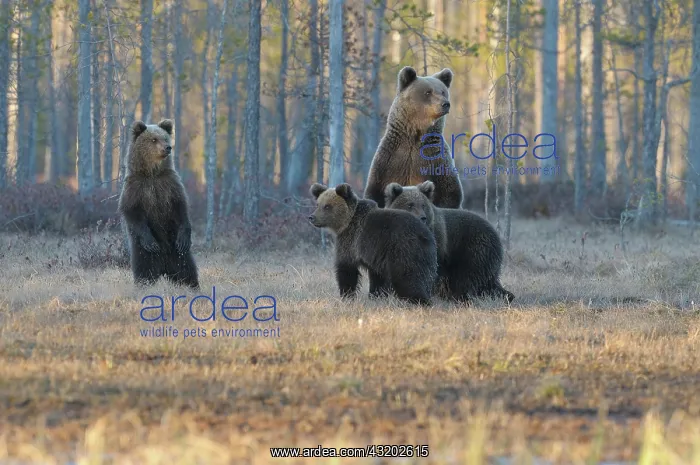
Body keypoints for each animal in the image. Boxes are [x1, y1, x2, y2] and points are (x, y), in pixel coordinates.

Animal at [118, 119, 199, 290]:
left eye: (165, 138)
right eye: (154, 139)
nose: (168, 147)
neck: (152, 174)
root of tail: (164, 268)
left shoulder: (170, 184)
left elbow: (181, 208)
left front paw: (184, 237)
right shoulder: (135, 188)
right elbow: (133, 213)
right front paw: (151, 243)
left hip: (176, 251)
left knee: (186, 268)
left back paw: (192, 285)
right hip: (143, 253)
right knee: (145, 270)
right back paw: (144, 285)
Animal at [308, 182, 438, 305]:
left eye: (327, 206)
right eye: (318, 204)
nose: (312, 217)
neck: (347, 222)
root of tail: (424, 234)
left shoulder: (351, 241)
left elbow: (346, 268)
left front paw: (346, 296)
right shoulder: (375, 255)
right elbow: (377, 277)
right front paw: (376, 295)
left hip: (403, 249)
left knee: (408, 278)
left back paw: (419, 301)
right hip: (426, 255)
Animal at [364, 66, 463, 209]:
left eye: (443, 92)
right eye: (428, 92)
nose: (445, 104)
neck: (414, 136)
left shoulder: (436, 162)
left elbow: (450, 194)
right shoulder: (389, 161)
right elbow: (374, 192)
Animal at [384, 180, 514, 304]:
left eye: (423, 205)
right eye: (410, 204)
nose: (422, 217)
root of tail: (495, 233)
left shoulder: (436, 241)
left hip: (474, 249)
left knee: (469, 276)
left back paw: (461, 297)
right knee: (488, 282)